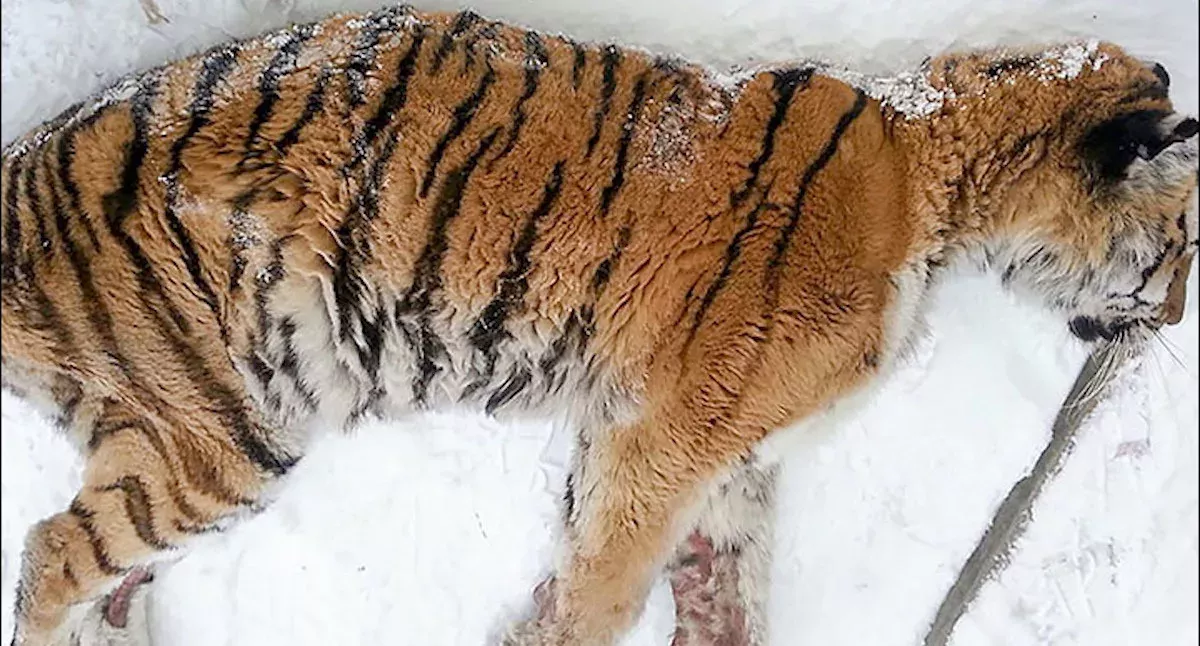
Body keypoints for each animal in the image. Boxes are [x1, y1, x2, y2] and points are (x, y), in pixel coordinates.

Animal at [1, 2, 1196, 645]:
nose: (1178, 318)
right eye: (1184, 243)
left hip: (175, 428)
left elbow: (731, 581)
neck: (937, 180)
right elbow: (609, 580)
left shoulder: (728, 452)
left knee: (95, 560)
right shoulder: (672, 430)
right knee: (52, 550)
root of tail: (21, 168)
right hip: (228, 425)